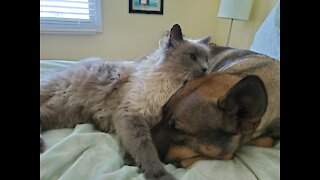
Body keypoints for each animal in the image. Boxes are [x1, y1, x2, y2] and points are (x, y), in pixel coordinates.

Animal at [39, 24, 210, 180]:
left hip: (63, 114)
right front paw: (159, 174)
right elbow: (146, 148)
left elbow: (144, 145)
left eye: (207, 59)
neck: (169, 88)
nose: (205, 69)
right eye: (192, 57)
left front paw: (130, 161)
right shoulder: (131, 115)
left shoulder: (152, 122)